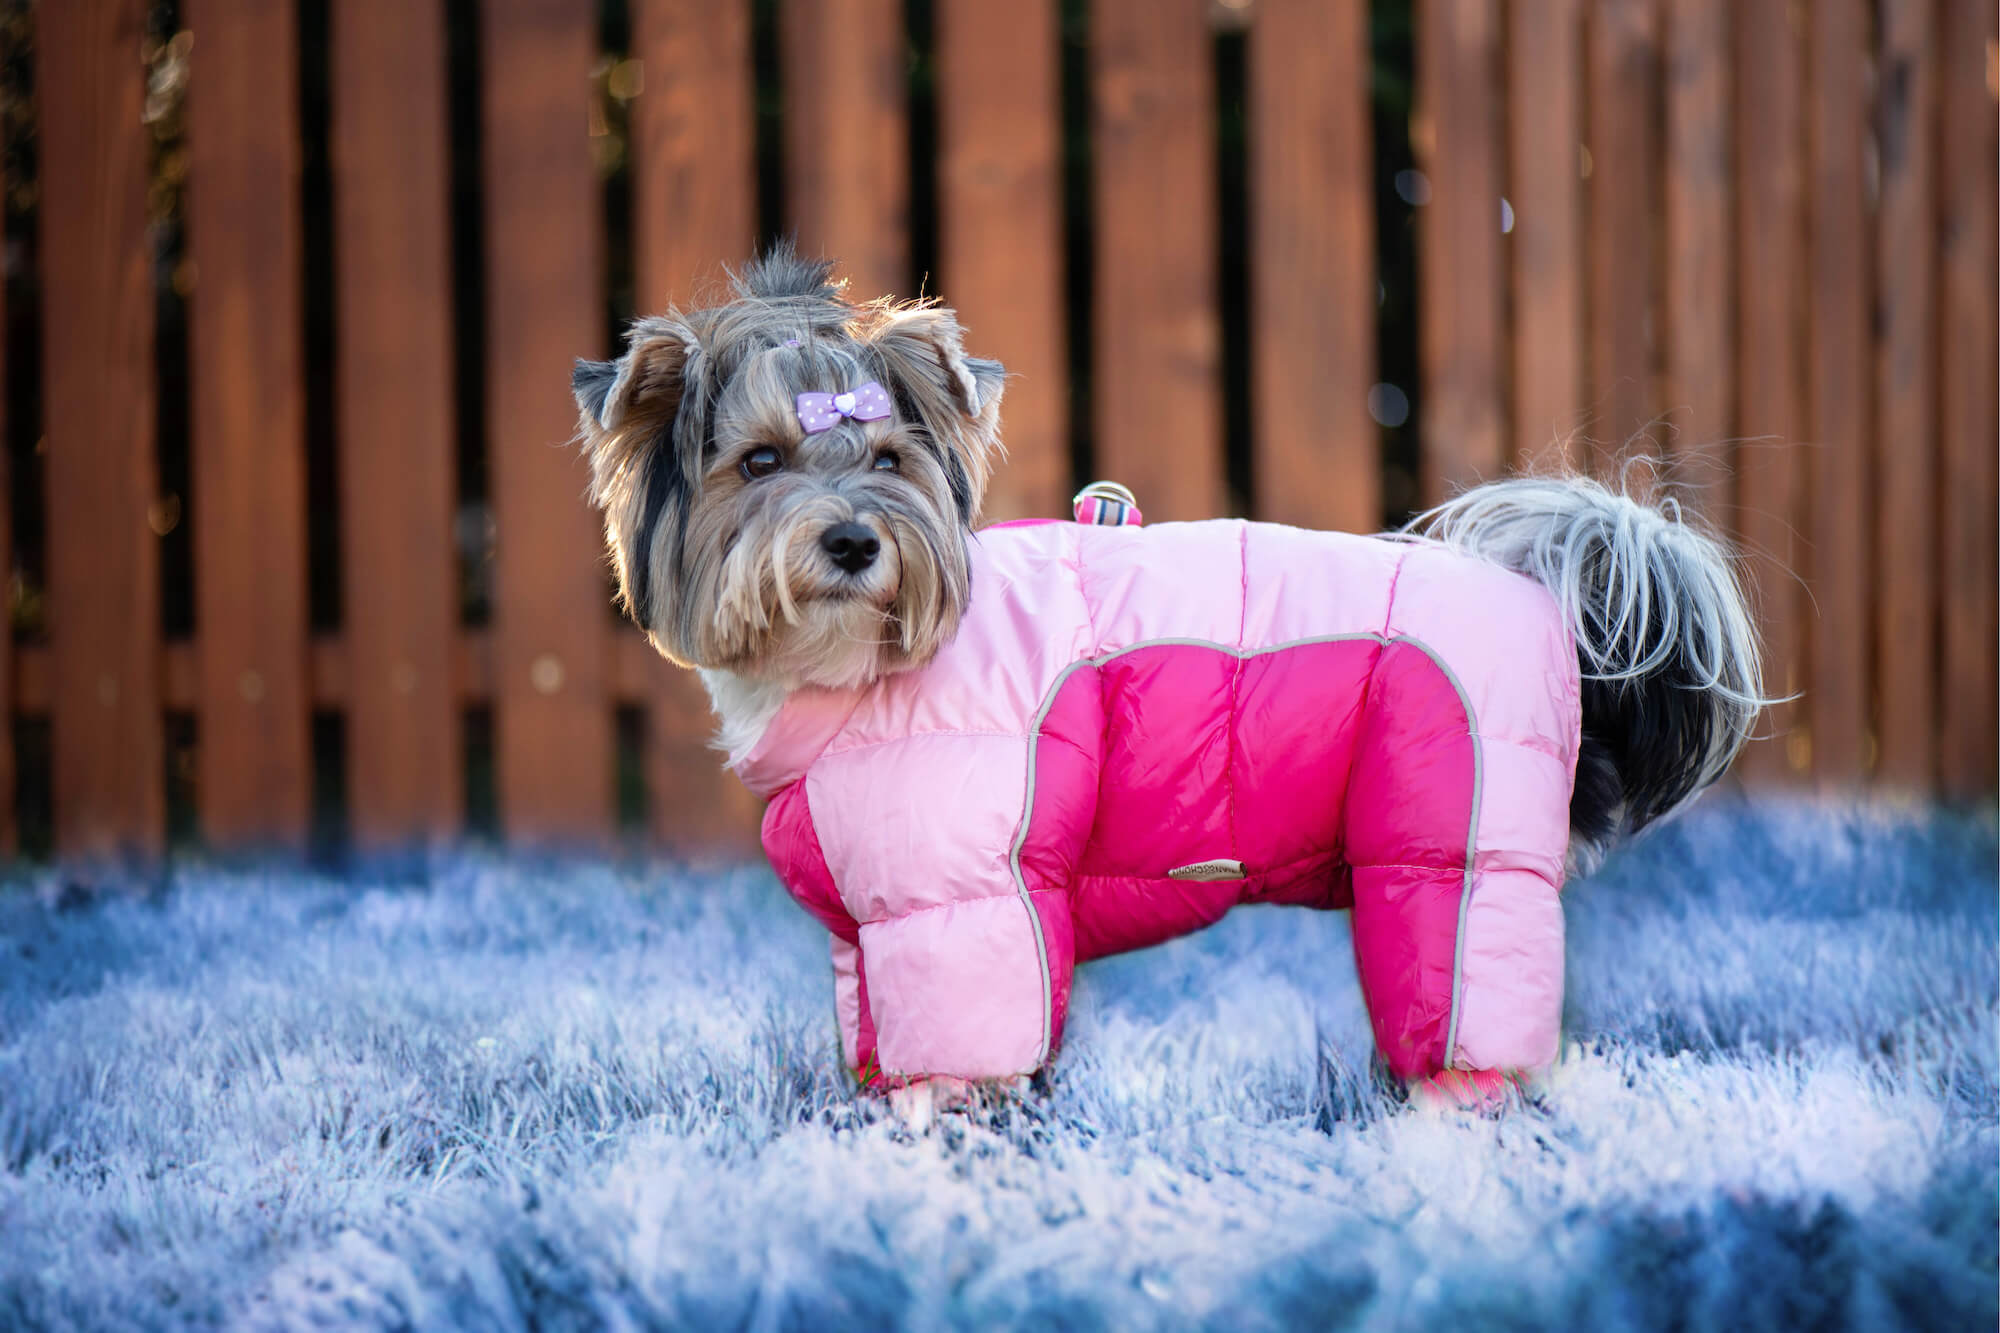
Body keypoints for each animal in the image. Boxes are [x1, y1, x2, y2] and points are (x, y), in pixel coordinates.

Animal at [568, 244, 1768, 1104]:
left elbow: (967, 1048)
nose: (857, 541)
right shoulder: (873, 932)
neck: (852, 673)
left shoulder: (969, 902)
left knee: (1461, 993)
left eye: (889, 460)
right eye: (759, 463)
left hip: (1454, 842)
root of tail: (1543, 599)